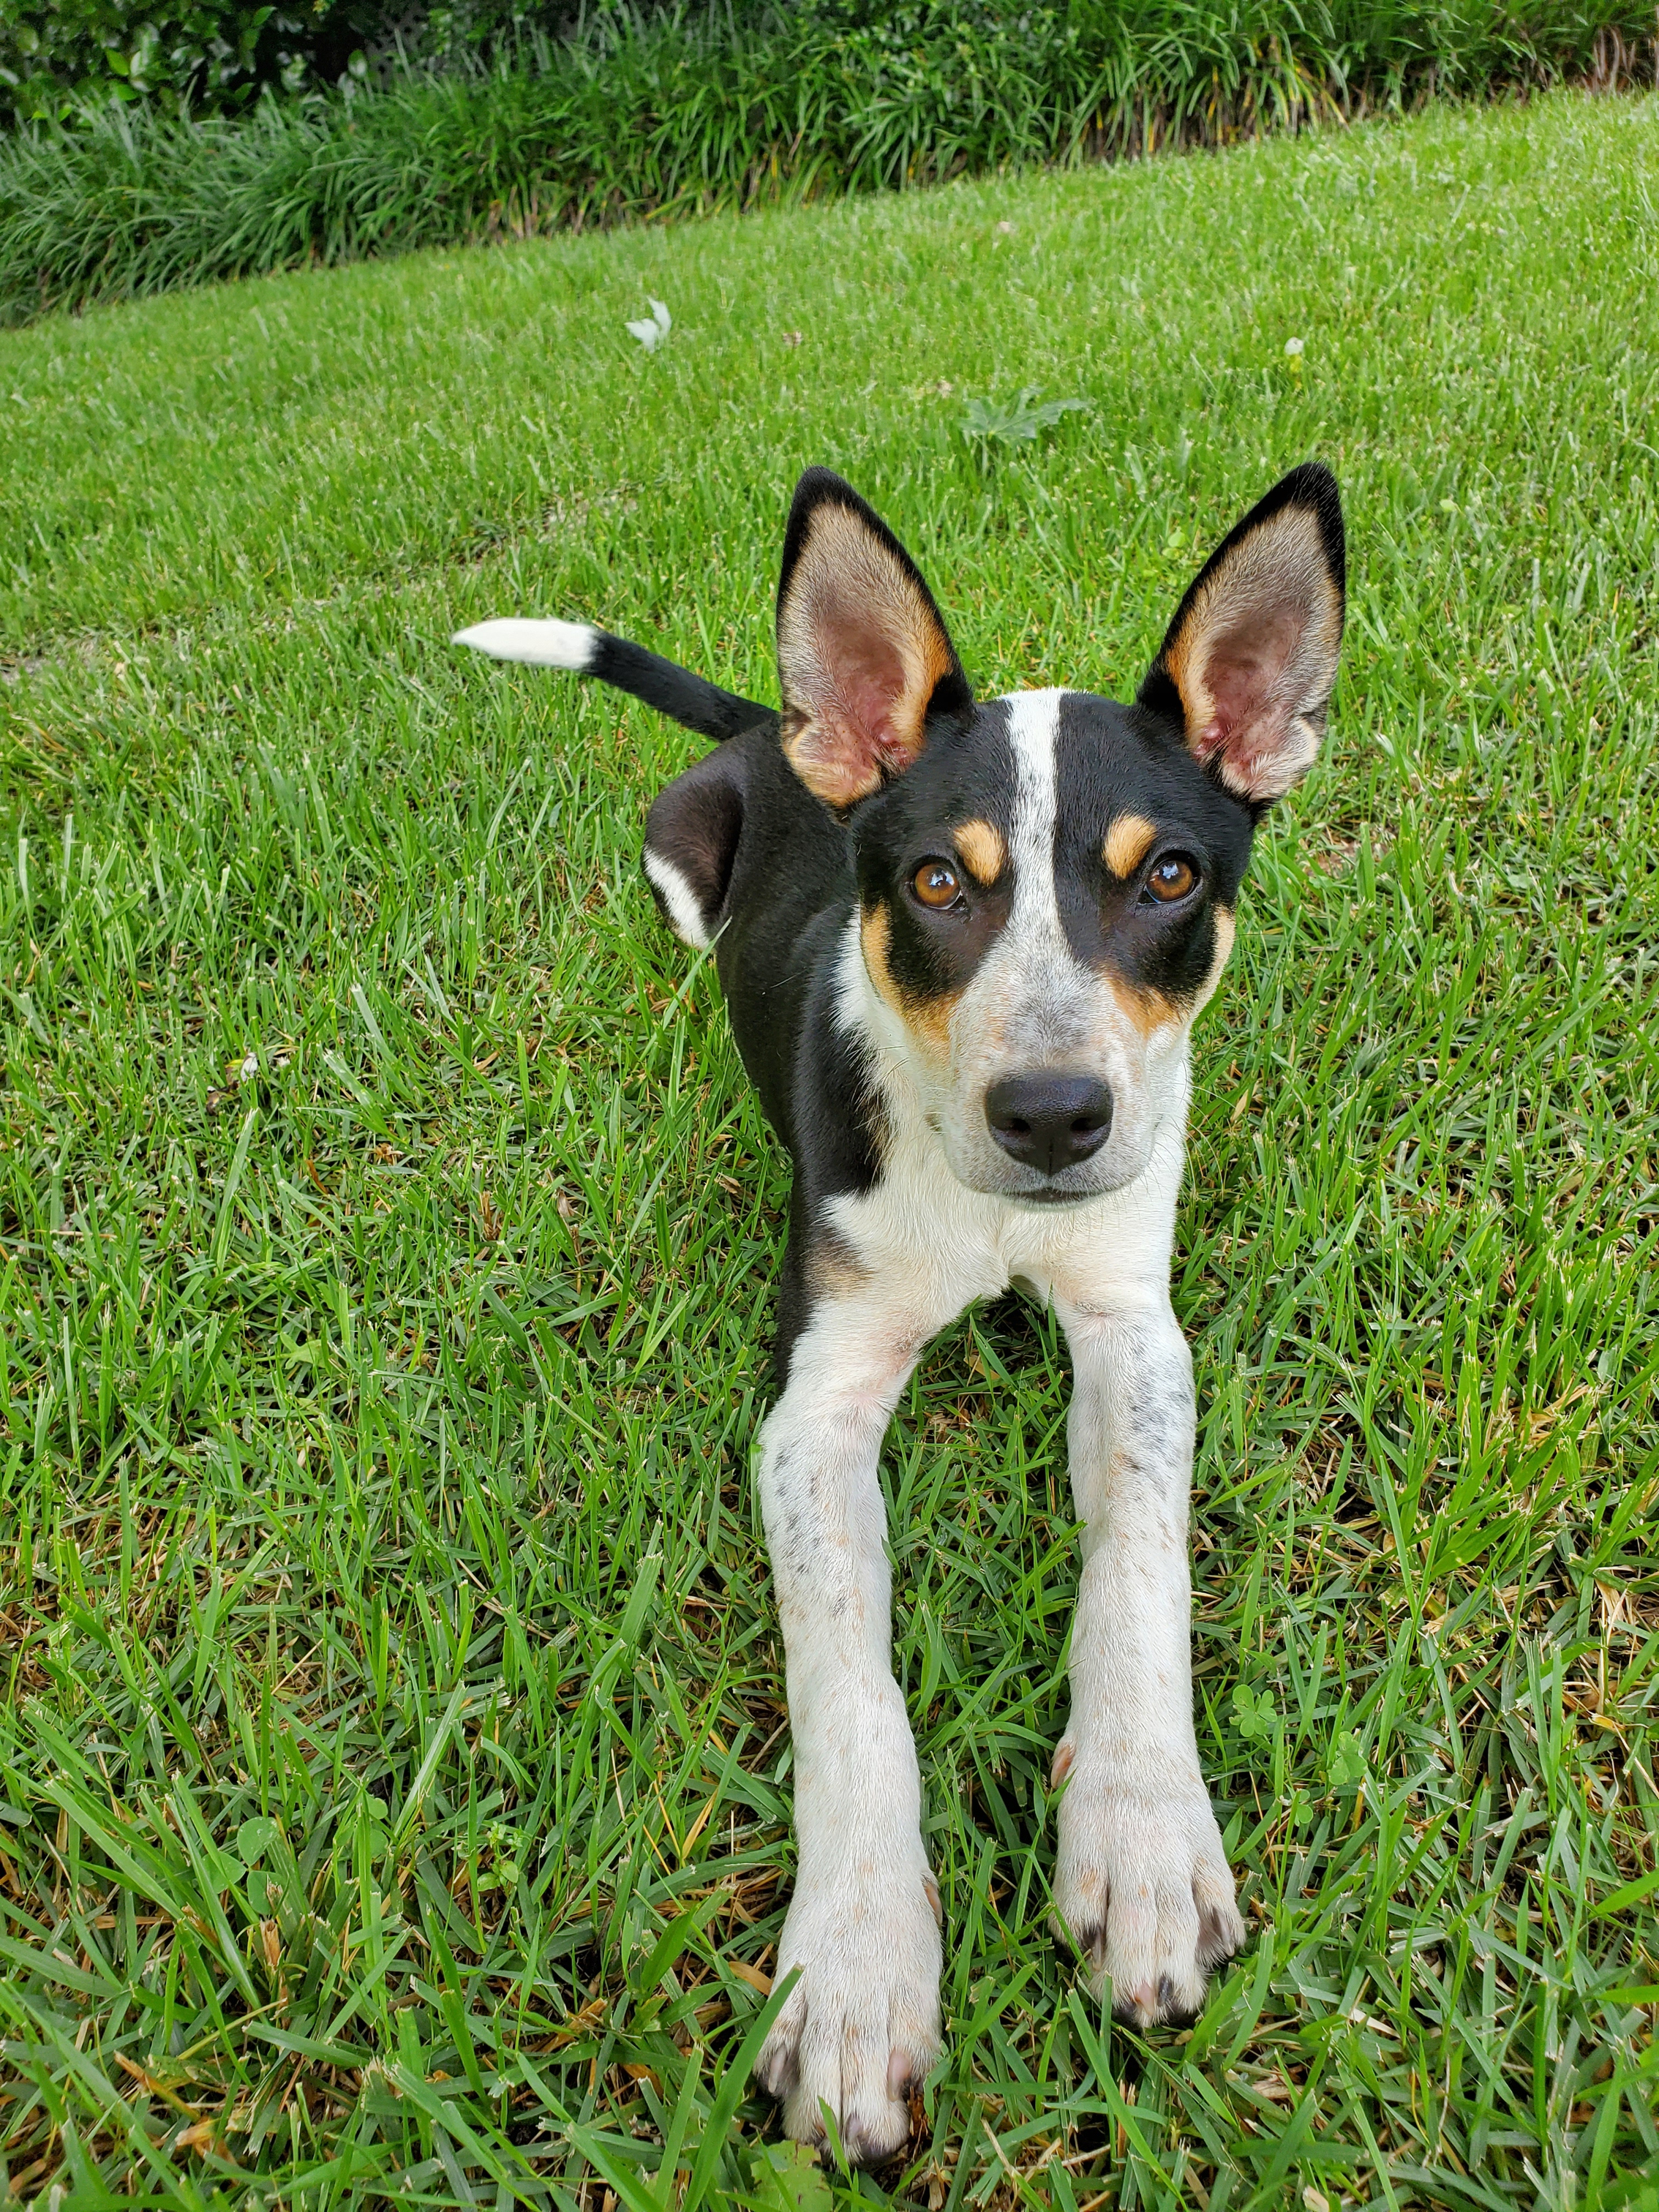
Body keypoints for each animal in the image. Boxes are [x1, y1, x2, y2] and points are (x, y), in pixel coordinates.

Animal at [457, 467, 1353, 2159]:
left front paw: (1142, 1832)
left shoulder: (1131, 1326)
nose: (1054, 1116)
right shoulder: (815, 1400)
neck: (981, 1203)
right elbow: (847, 1679)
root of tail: (777, 722)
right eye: (936, 882)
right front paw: (861, 1969)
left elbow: (1138, 1568)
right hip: (678, 853)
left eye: (1169, 877)